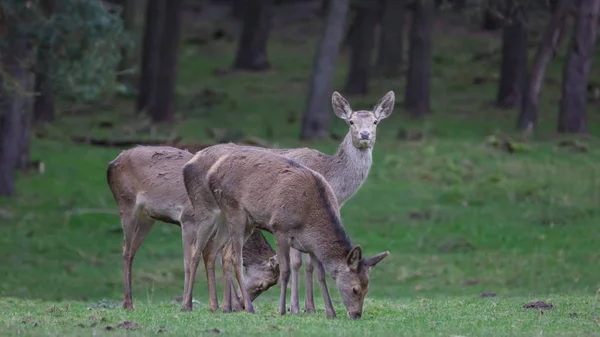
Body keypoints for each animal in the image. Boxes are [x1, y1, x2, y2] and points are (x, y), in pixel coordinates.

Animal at [105, 146, 278, 312]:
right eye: (263, 285)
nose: (243, 304)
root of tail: (112, 163)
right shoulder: (187, 219)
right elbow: (189, 262)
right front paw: (187, 304)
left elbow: (216, 257)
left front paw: (221, 306)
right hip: (126, 203)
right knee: (125, 250)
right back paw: (128, 304)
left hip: (146, 218)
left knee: (132, 251)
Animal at [183, 144, 390, 318]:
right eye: (355, 289)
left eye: (367, 288)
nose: (356, 315)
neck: (309, 219)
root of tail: (212, 171)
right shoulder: (280, 229)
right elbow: (285, 270)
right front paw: (284, 310)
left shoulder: (311, 245)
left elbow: (320, 274)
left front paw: (330, 312)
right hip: (228, 211)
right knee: (217, 254)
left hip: (243, 221)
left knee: (220, 251)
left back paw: (224, 307)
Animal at [218, 90, 396, 314]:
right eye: (351, 121)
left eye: (375, 121)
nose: (365, 135)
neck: (333, 183)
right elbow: (297, 262)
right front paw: (295, 307)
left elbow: (311, 262)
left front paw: (309, 307)